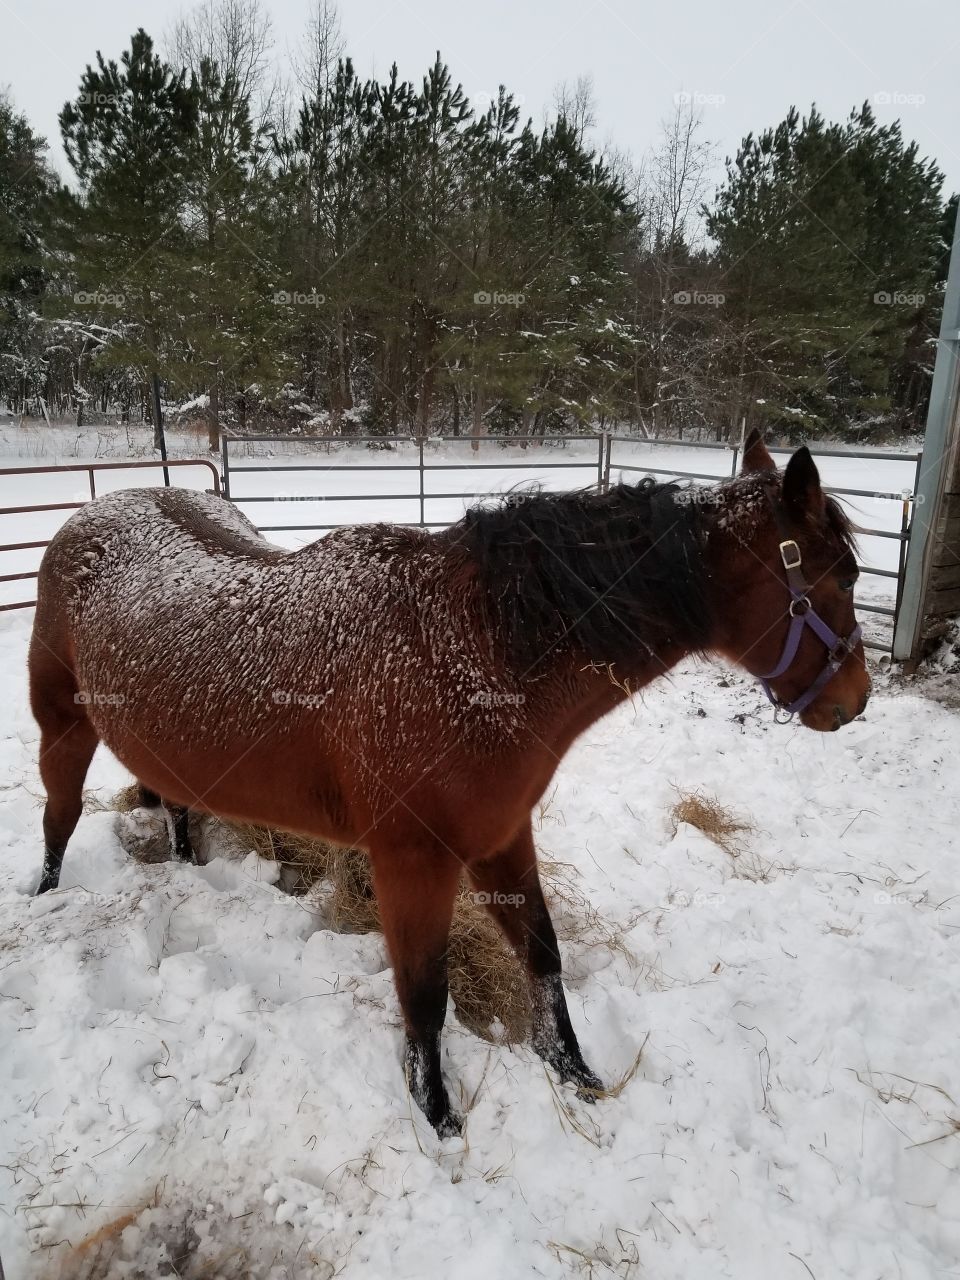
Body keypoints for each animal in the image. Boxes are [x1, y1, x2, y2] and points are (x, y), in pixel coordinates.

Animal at [28, 429, 869, 1136]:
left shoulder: (500, 838)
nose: (854, 701)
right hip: (63, 729)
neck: (472, 651)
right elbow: (425, 996)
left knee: (171, 802)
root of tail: (92, 514)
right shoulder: (414, 862)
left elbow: (542, 954)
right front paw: (436, 1115)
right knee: (58, 819)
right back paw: (44, 899)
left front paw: (572, 1070)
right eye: (843, 575)